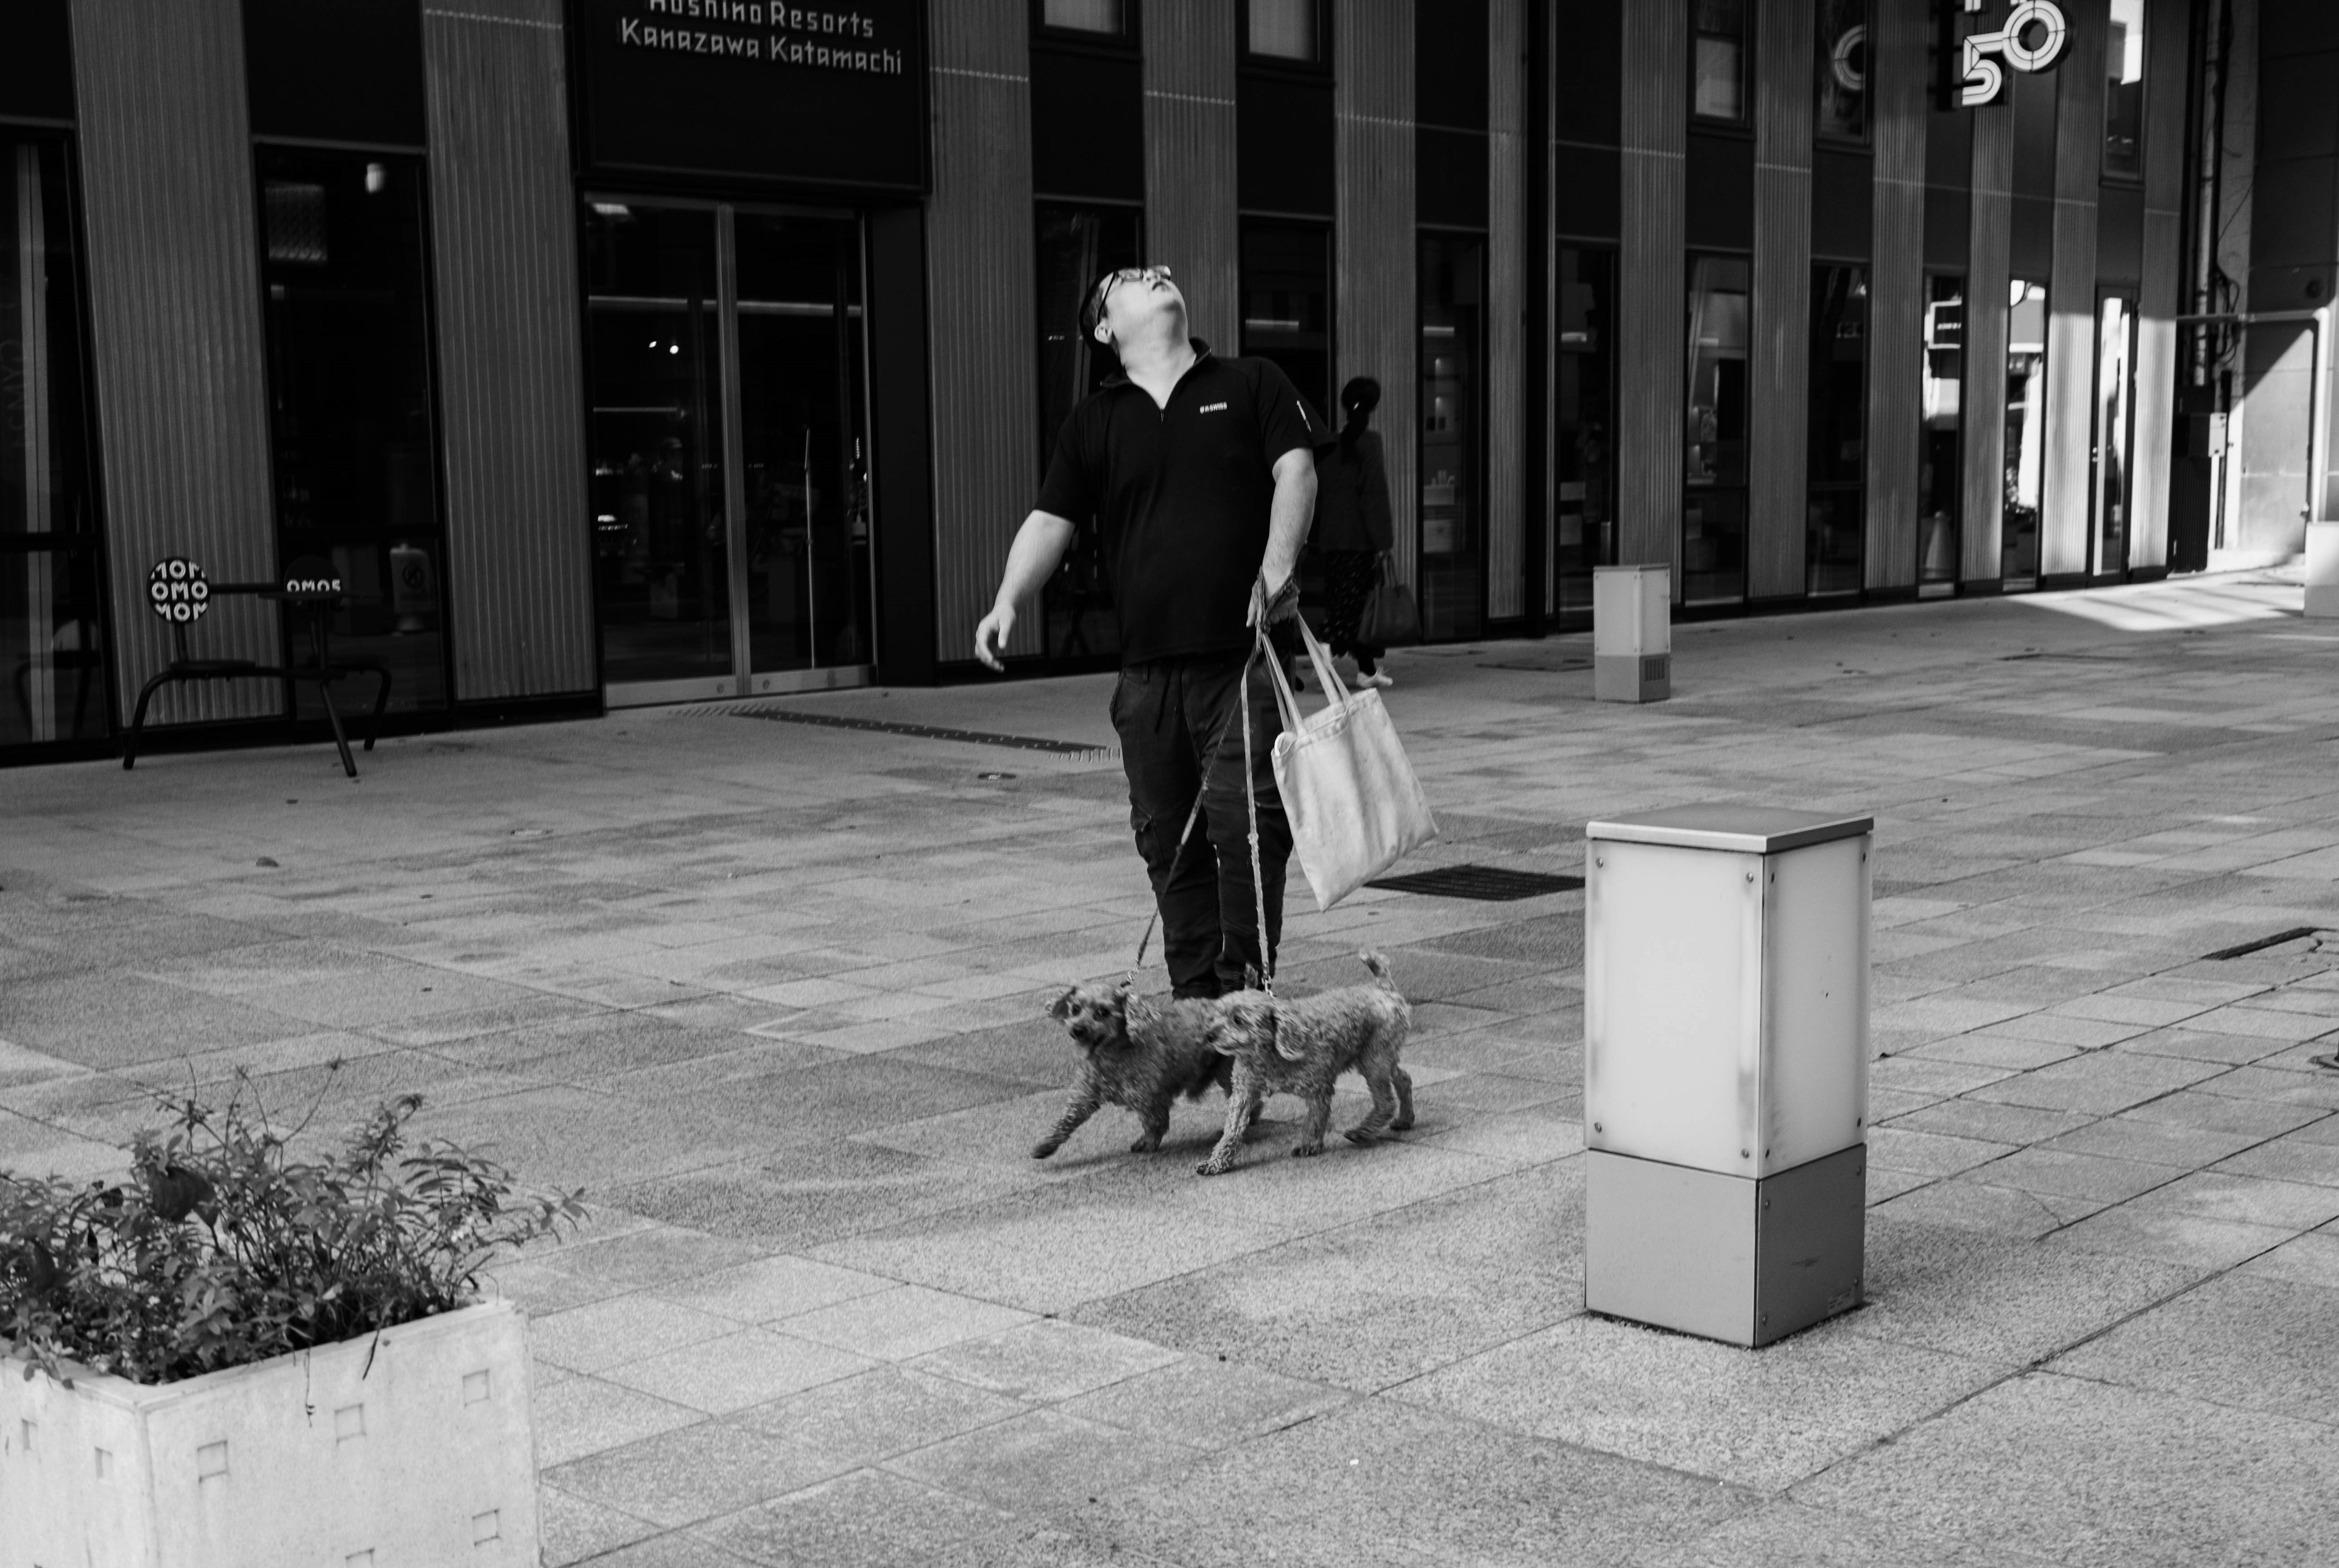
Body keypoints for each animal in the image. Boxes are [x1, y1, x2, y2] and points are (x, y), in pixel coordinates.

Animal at [1034, 987, 1235, 1160]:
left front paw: (1148, 1142)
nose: (1077, 1030)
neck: (1113, 1054)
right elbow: (1068, 1119)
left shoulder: (1149, 1096)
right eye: (1075, 1008)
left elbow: (1155, 1122)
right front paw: (1046, 1145)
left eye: (1103, 1012)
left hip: (1228, 1073)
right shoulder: (1086, 1094)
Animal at [1198, 959, 1413, 1179]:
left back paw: (1364, 1131)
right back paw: (1405, 1119)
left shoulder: (1318, 1088)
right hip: (1378, 1057)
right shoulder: (1244, 1093)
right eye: (1218, 1015)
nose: (1209, 1035)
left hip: (1374, 1059)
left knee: (1386, 1101)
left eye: (1238, 1020)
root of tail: (1384, 988)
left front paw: (1310, 1145)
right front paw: (1217, 1162)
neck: (1268, 1053)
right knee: (1403, 1078)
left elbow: (1315, 1119)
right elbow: (1232, 1129)